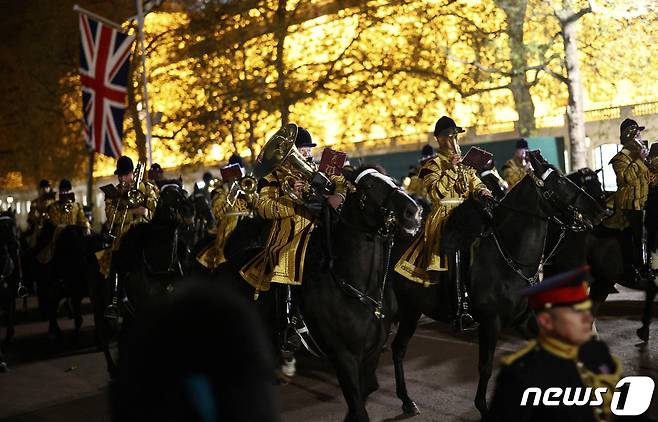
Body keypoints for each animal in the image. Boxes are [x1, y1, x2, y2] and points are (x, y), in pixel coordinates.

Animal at [217, 166, 420, 420]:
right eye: (369, 186)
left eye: (392, 179)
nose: (413, 211)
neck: (356, 289)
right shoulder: (344, 359)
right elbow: (358, 407)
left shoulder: (371, 354)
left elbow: (366, 393)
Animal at [386, 157, 608, 418]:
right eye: (561, 181)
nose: (601, 211)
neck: (509, 256)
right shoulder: (490, 322)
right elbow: (485, 366)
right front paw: (483, 407)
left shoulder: (524, 320)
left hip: (411, 311)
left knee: (398, 349)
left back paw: (406, 400)